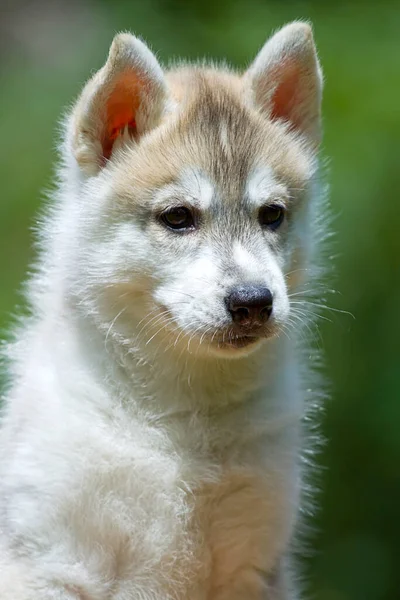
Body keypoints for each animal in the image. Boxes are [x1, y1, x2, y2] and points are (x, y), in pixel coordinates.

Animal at [0, 21, 324, 600]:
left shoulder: (255, 562)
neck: (186, 427)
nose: (253, 302)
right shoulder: (54, 557)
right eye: (178, 217)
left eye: (272, 214)